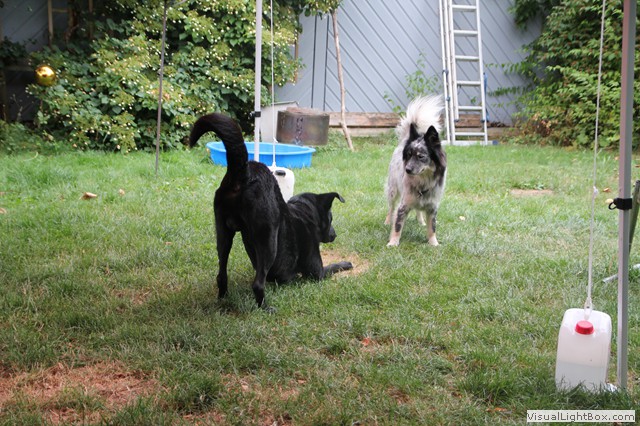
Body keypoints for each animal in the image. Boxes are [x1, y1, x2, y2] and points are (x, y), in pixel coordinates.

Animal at [189, 113, 353, 310]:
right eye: (331, 218)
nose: (334, 235)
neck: (304, 214)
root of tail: (244, 173)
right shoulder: (317, 273)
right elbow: (332, 267)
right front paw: (346, 263)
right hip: (268, 239)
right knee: (258, 283)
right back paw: (265, 307)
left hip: (223, 234)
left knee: (221, 275)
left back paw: (223, 299)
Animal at [385, 96, 446, 247]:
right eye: (408, 155)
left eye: (421, 156)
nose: (407, 169)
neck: (423, 182)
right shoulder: (403, 206)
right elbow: (397, 226)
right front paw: (393, 243)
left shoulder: (432, 208)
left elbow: (432, 228)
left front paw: (434, 244)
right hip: (392, 190)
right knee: (390, 207)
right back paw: (387, 221)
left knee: (418, 211)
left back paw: (421, 221)